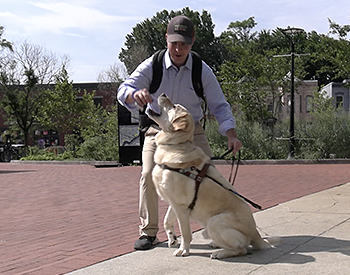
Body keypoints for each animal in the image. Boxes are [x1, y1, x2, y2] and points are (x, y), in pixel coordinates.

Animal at [148, 94, 276, 260]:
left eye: (174, 107)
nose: (163, 94)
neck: (175, 146)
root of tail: (257, 235)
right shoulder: (173, 202)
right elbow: (166, 221)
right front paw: (172, 238)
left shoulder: (181, 207)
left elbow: (186, 233)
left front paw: (183, 250)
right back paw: (216, 245)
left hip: (215, 221)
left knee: (241, 249)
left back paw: (219, 252)